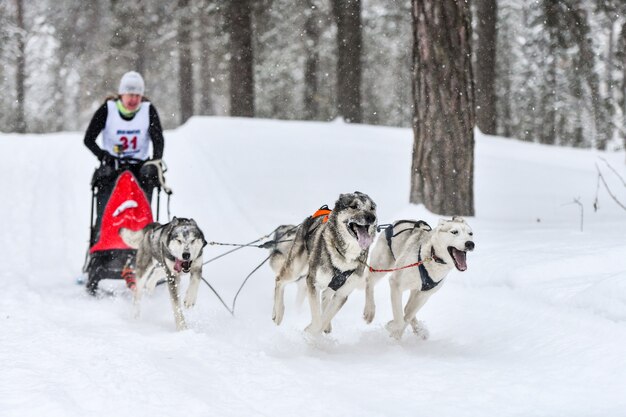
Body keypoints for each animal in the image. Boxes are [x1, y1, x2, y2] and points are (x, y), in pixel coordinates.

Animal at [270, 192, 376, 334]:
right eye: (354, 206)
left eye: (372, 208)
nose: (371, 217)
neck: (345, 256)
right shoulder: (313, 282)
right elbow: (317, 320)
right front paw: (310, 330)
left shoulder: (342, 294)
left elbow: (324, 318)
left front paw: (314, 331)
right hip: (295, 268)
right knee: (279, 280)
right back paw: (278, 313)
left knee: (325, 299)